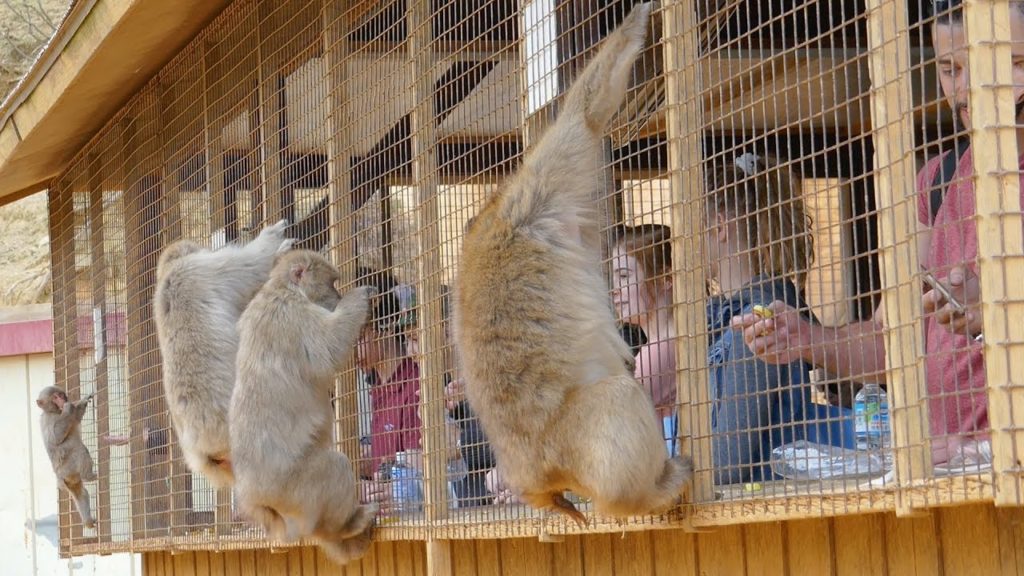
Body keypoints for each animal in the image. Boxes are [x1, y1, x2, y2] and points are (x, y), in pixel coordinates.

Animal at [36, 386, 97, 529]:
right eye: (55, 397)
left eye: (60, 394)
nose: (62, 399)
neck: (57, 411)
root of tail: (60, 478)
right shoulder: (48, 419)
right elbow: (55, 438)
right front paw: (68, 406)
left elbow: (77, 416)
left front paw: (84, 400)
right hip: (67, 468)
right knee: (79, 450)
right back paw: (88, 476)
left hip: (70, 480)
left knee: (81, 494)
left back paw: (88, 521)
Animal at [229, 250, 377, 566]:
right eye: (332, 282)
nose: (337, 296)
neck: (281, 288)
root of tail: (257, 502)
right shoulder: (294, 315)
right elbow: (329, 349)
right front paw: (359, 297)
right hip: (295, 491)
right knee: (334, 466)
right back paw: (346, 525)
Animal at [452, 2, 692, 526]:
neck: (496, 215)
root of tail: (537, 479)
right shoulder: (544, 188)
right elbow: (587, 113)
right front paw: (636, 23)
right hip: (578, 438)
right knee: (617, 396)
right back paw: (648, 492)